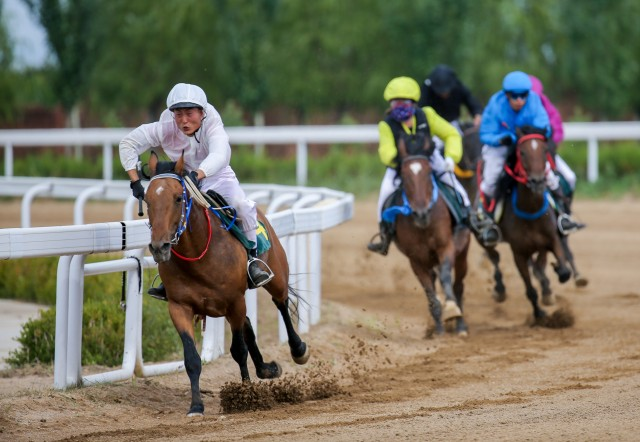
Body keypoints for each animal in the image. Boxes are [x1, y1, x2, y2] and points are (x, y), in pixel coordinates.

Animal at [144, 151, 308, 414]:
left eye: (178, 198)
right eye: (147, 200)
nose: (160, 247)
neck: (199, 253)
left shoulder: (235, 301)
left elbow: (239, 350)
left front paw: (246, 395)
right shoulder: (179, 306)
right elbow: (191, 358)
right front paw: (196, 405)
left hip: (277, 276)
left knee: (281, 303)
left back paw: (298, 349)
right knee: (249, 323)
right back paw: (265, 368)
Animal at [390, 135, 470, 334]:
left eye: (428, 173)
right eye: (404, 176)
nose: (421, 213)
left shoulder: (446, 247)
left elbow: (446, 277)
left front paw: (452, 310)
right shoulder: (415, 260)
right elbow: (429, 291)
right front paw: (439, 329)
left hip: (462, 252)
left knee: (458, 285)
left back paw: (460, 324)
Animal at [478, 129, 572, 322]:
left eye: (545, 150)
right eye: (521, 152)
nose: (537, 181)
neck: (530, 209)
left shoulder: (552, 239)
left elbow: (562, 271)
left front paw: (556, 274)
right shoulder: (519, 252)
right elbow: (530, 289)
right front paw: (539, 314)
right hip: (484, 238)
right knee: (494, 257)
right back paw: (499, 289)